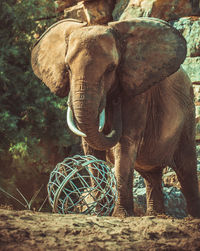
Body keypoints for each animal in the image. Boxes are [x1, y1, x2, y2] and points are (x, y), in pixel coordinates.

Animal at [31, 17, 200, 218]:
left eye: (111, 68)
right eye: (68, 69)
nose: (115, 101)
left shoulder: (138, 94)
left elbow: (124, 144)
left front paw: (120, 214)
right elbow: (91, 149)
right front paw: (99, 212)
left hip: (188, 113)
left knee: (186, 167)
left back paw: (191, 217)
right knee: (152, 174)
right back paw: (156, 215)